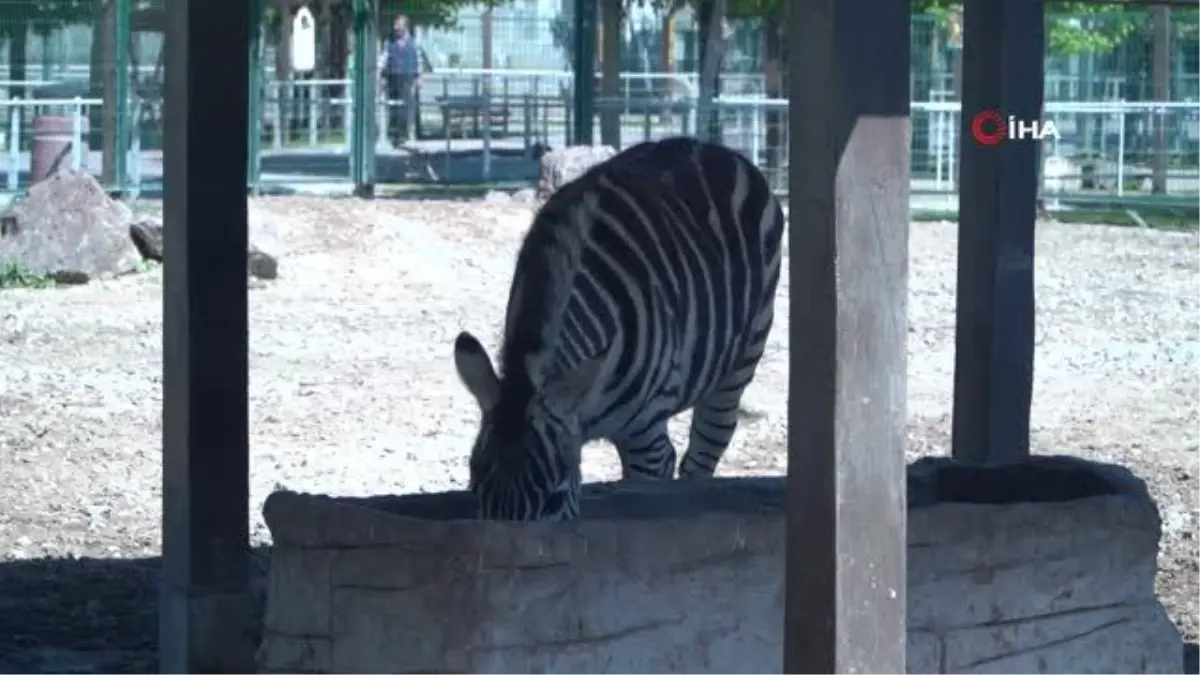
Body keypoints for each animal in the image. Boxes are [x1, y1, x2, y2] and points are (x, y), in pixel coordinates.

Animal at [453, 133, 782, 516]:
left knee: (706, 447)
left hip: (742, 359)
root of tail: (712, 147)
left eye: (554, 500)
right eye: (477, 492)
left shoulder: (646, 437)